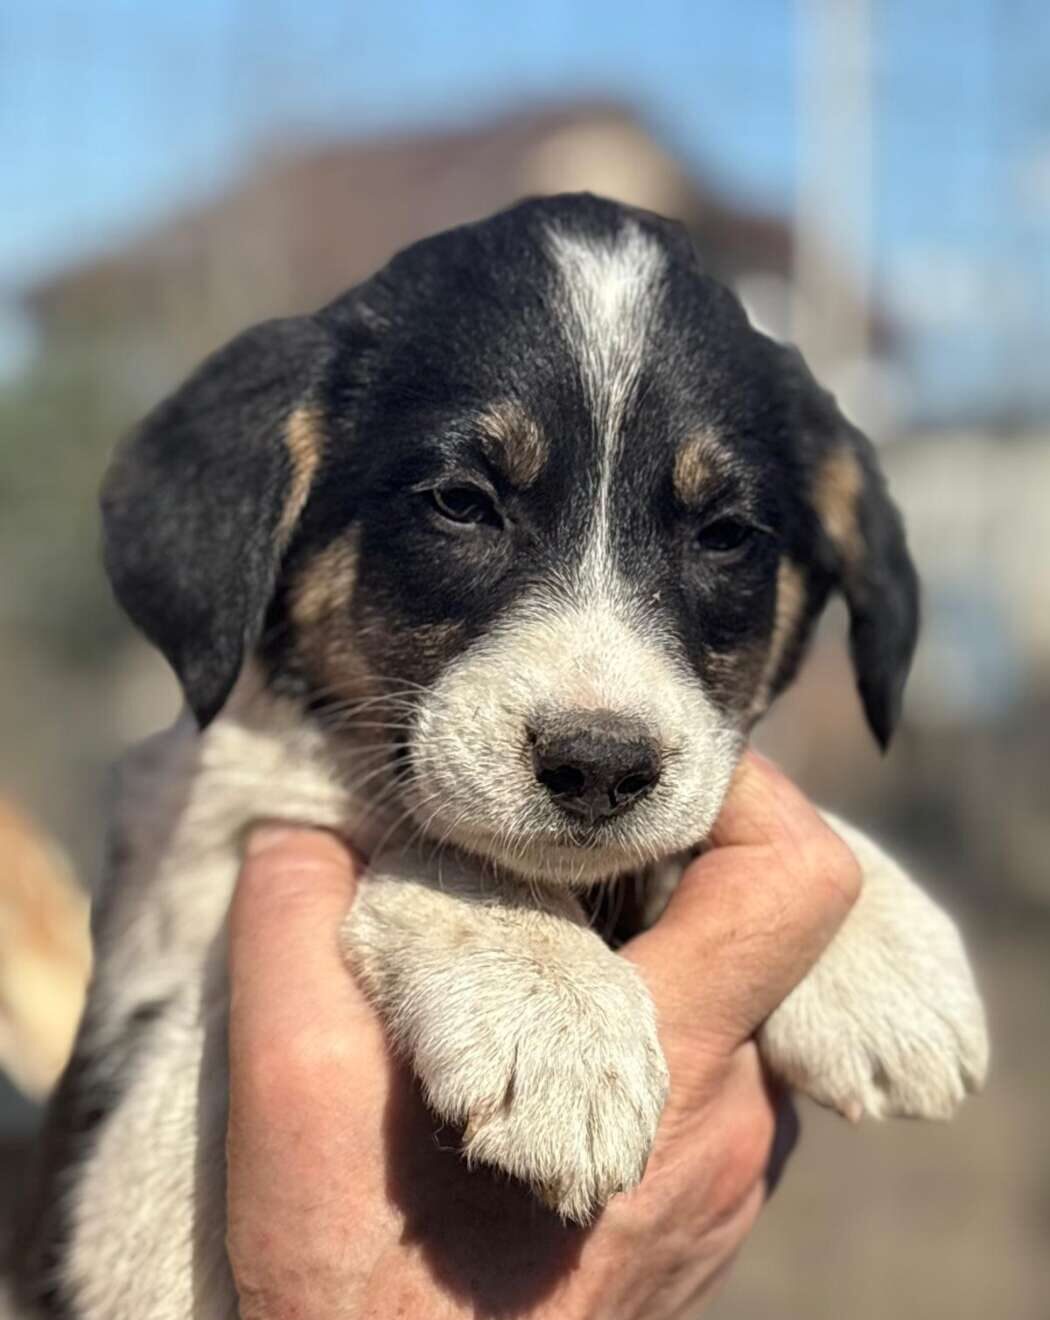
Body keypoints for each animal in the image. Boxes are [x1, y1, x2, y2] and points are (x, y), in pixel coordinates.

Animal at [11, 193, 987, 1319]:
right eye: (462, 503)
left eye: (725, 534)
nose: (600, 768)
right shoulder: (118, 1178)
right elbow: (423, 838)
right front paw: (551, 1004)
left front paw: (886, 942)